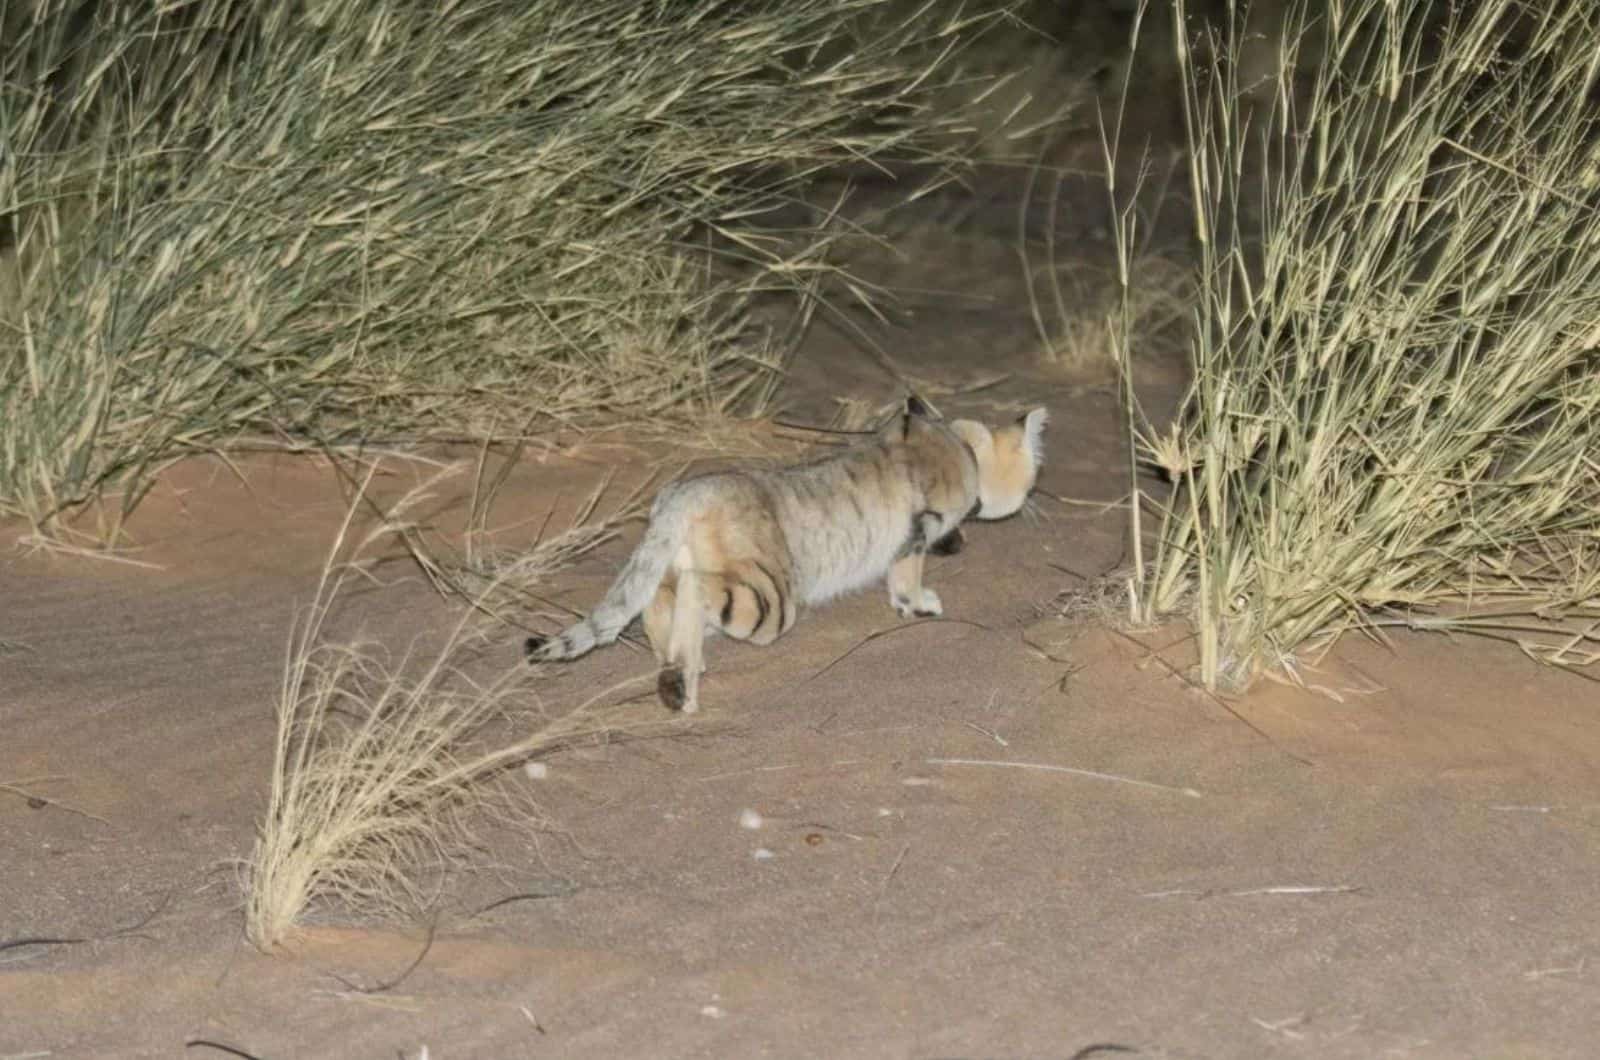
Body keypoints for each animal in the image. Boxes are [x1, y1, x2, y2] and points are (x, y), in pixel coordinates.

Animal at [528, 398, 1049, 714]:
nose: (1034, 496)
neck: (955, 444)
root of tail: (687, 492)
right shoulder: (919, 527)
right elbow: (907, 572)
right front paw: (918, 602)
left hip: (672, 564)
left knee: (657, 603)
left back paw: (679, 668)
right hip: (770, 598)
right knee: (698, 589)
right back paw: (683, 674)